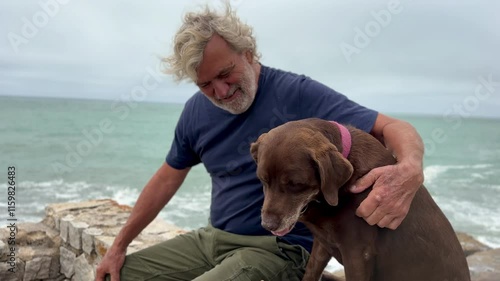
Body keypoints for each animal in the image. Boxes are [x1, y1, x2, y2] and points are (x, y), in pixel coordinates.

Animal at [252, 117, 470, 280]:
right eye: (263, 180)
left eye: (296, 184)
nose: (267, 225)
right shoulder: (322, 244)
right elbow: (311, 273)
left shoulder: (358, 253)